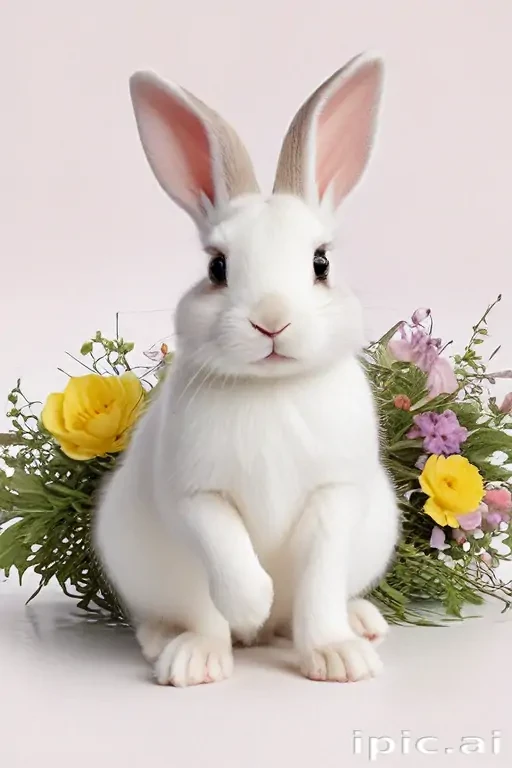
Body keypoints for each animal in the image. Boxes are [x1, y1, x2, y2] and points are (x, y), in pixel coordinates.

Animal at [93, 52, 400, 687]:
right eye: (217, 267)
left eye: (321, 263)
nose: (272, 321)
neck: (271, 389)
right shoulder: (193, 496)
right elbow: (228, 554)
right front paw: (251, 606)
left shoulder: (335, 496)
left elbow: (318, 582)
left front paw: (336, 659)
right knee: (189, 615)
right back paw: (189, 656)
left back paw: (358, 626)